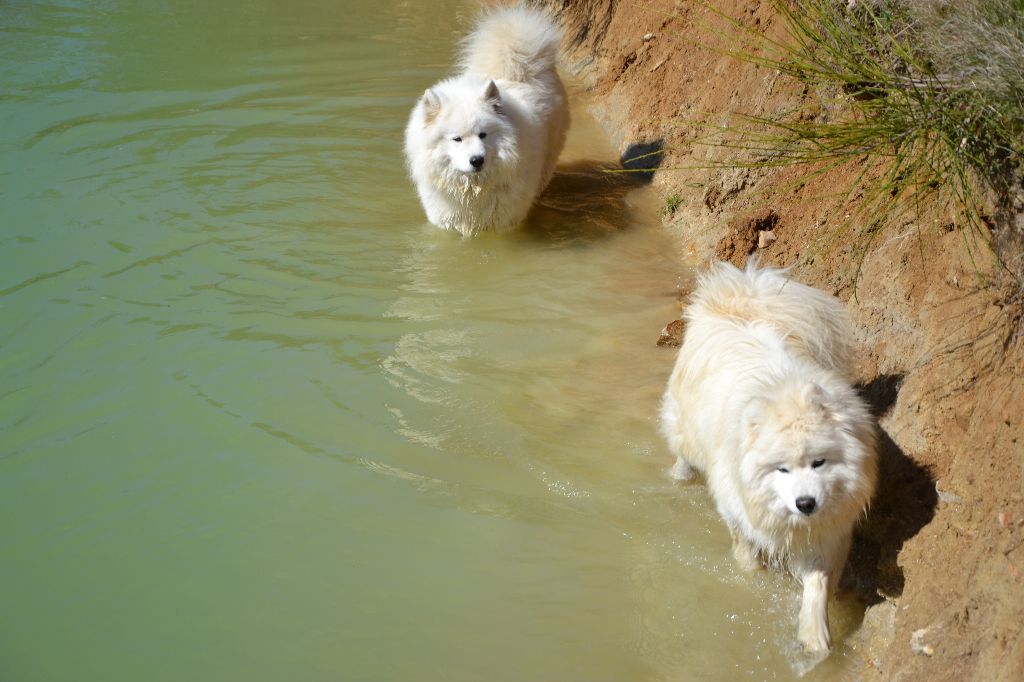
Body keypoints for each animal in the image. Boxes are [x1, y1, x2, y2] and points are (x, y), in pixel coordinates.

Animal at [403, 5, 573, 236]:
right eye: (457, 139)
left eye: (483, 135)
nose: (477, 160)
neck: (473, 189)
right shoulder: (445, 221)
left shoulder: (505, 223)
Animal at [663, 261, 880, 655]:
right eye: (782, 469)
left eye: (819, 462)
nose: (806, 503)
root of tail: (742, 306)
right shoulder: (737, 511)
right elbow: (747, 556)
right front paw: (753, 583)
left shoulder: (826, 534)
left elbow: (817, 584)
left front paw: (814, 636)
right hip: (684, 431)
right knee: (683, 456)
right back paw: (679, 478)